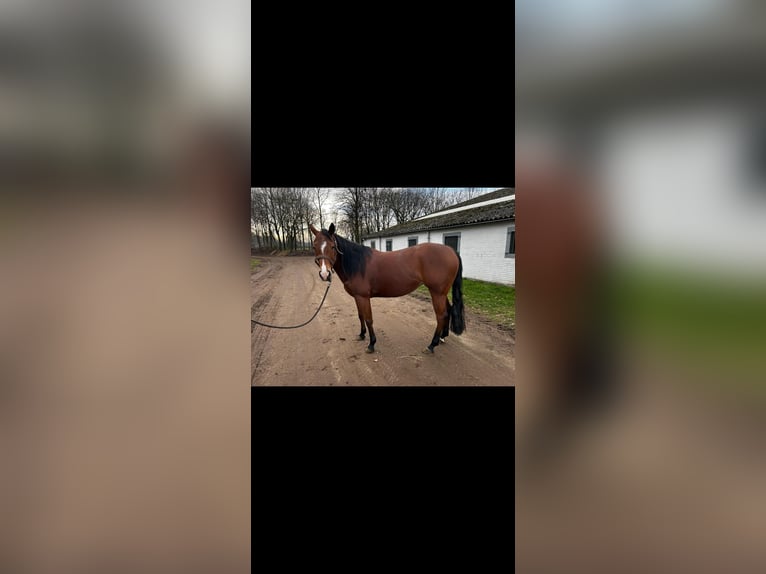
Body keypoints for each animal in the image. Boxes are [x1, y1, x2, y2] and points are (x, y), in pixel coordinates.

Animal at [309, 223, 465, 354]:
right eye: (314, 246)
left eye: (332, 246)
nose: (324, 274)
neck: (357, 264)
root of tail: (451, 251)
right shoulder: (357, 297)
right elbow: (360, 316)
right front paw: (361, 335)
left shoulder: (363, 297)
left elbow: (368, 319)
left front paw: (371, 344)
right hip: (441, 292)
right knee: (448, 310)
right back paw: (443, 337)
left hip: (437, 292)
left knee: (441, 315)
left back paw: (432, 345)